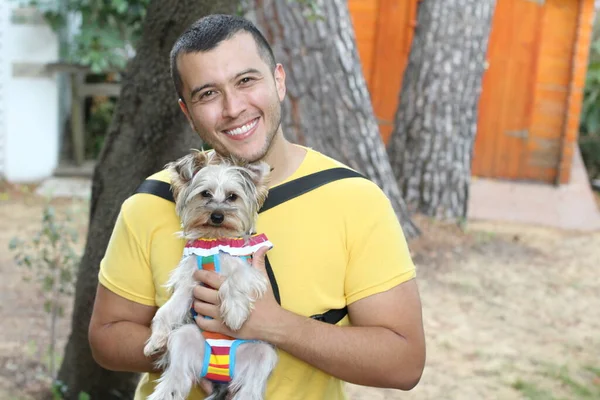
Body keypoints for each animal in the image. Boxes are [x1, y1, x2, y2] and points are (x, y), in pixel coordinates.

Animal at [144, 149, 278, 400]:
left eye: (232, 197)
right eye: (205, 193)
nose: (217, 216)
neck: (214, 240)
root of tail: (219, 376)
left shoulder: (249, 271)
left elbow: (233, 280)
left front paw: (234, 313)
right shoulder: (189, 282)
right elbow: (167, 310)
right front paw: (156, 339)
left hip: (262, 353)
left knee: (251, 388)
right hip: (185, 338)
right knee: (177, 377)